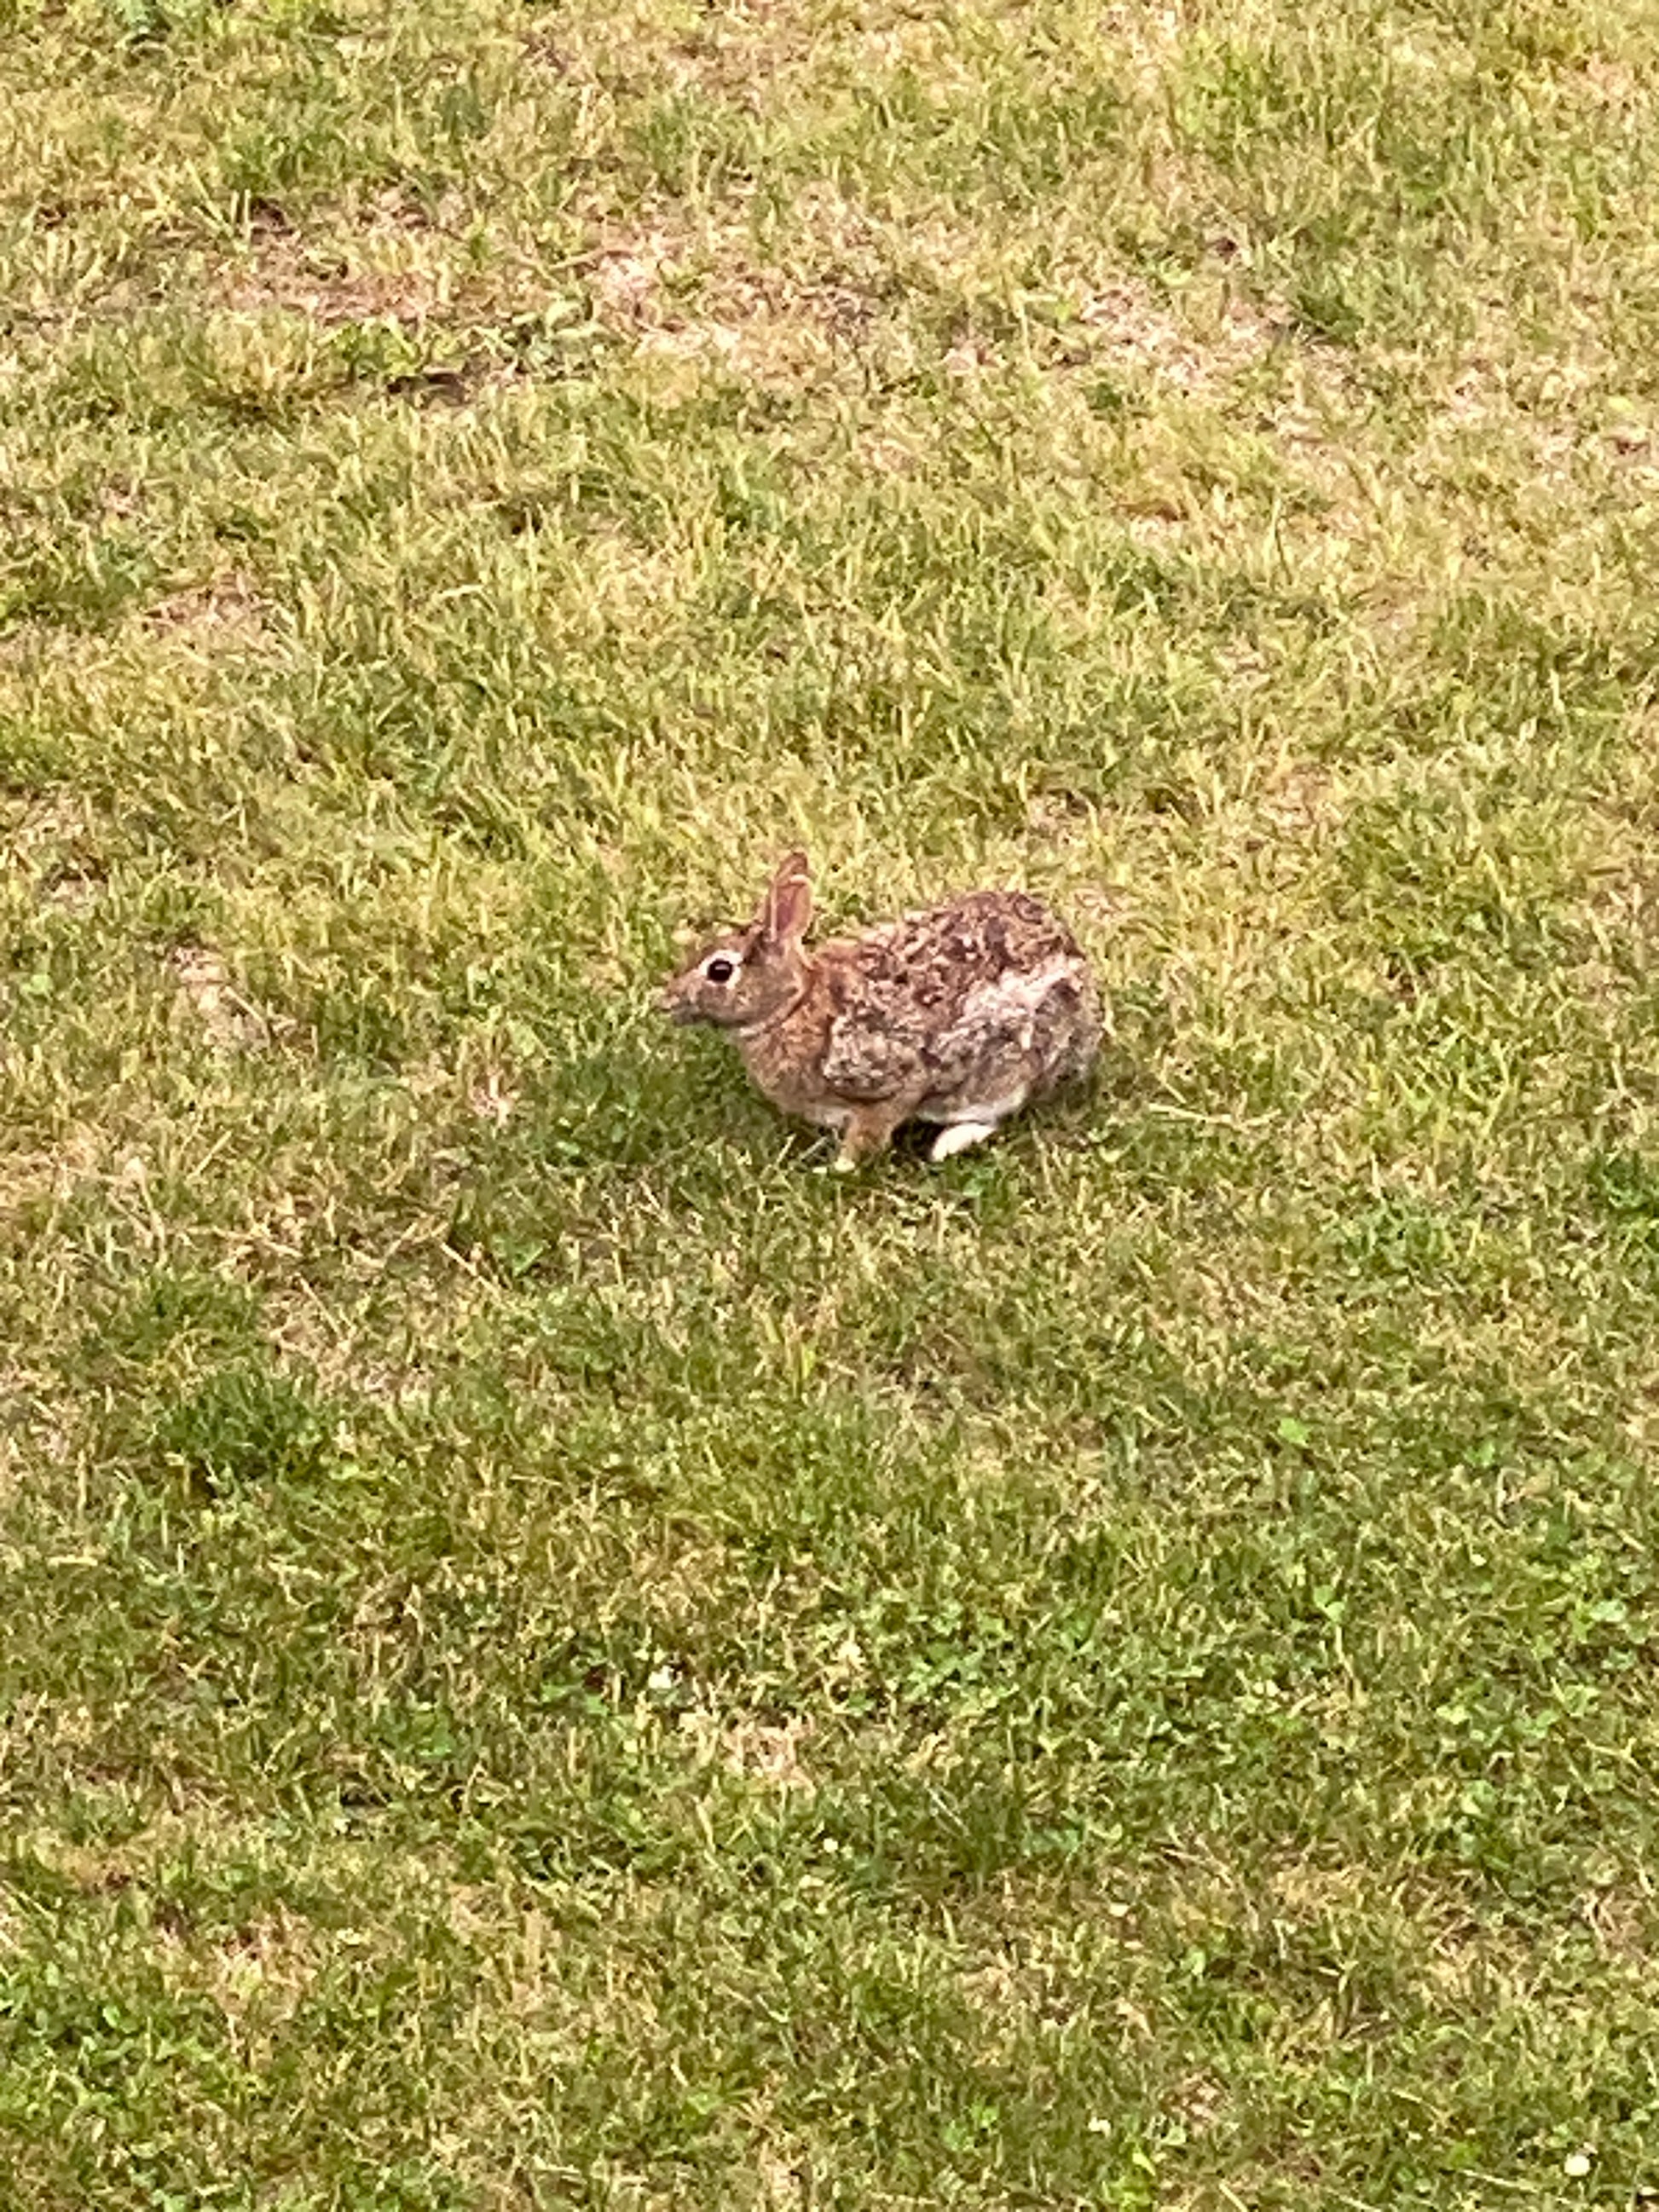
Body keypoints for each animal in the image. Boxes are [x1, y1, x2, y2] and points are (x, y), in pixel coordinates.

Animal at [660, 851, 1101, 1167]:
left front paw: (839, 1168)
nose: (666, 1002)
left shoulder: (889, 1082)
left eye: (719, 970)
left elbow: (873, 1130)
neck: (794, 1005)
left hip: (1015, 1060)